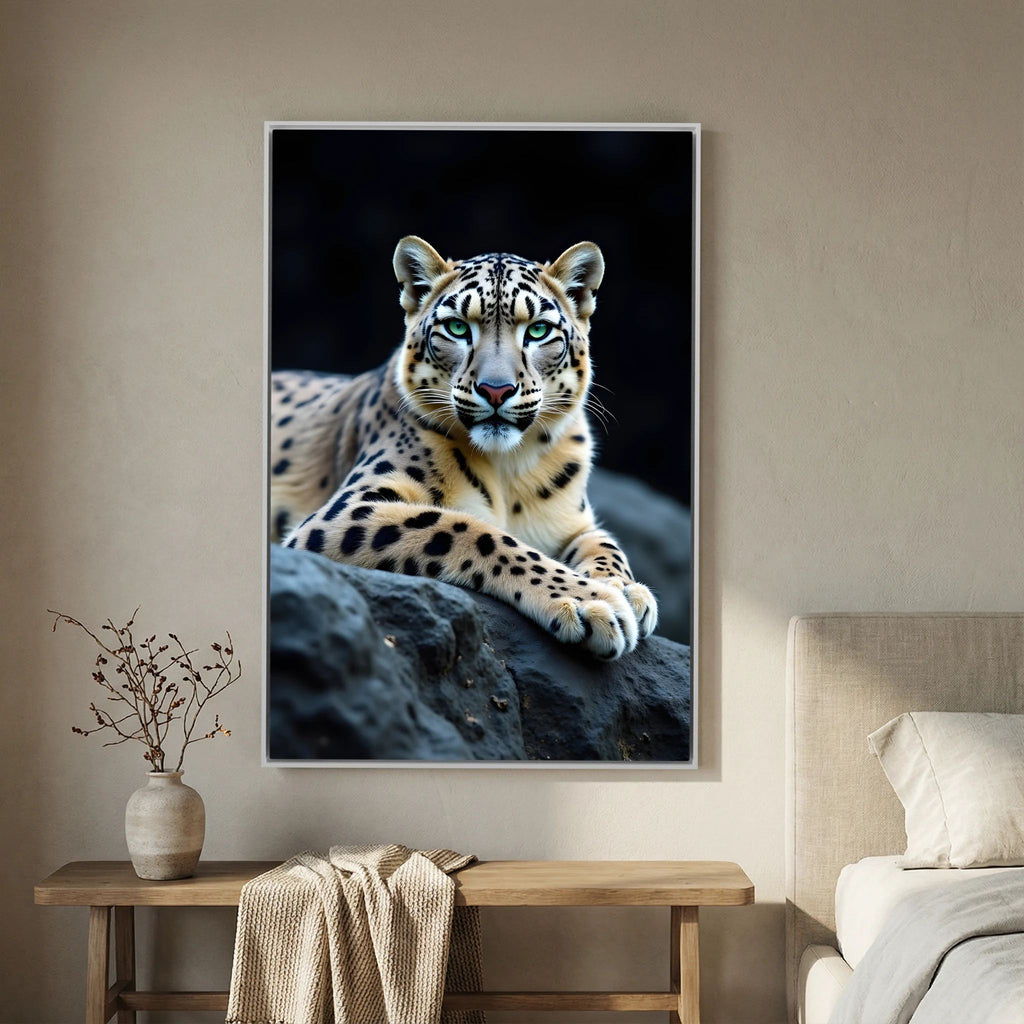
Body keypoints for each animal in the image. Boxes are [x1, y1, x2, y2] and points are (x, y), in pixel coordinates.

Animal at [270, 236, 658, 660]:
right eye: (457, 327)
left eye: (538, 330)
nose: (496, 389)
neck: (509, 469)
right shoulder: (347, 509)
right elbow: (467, 529)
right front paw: (593, 601)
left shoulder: (573, 522)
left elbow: (606, 544)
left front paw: (627, 590)